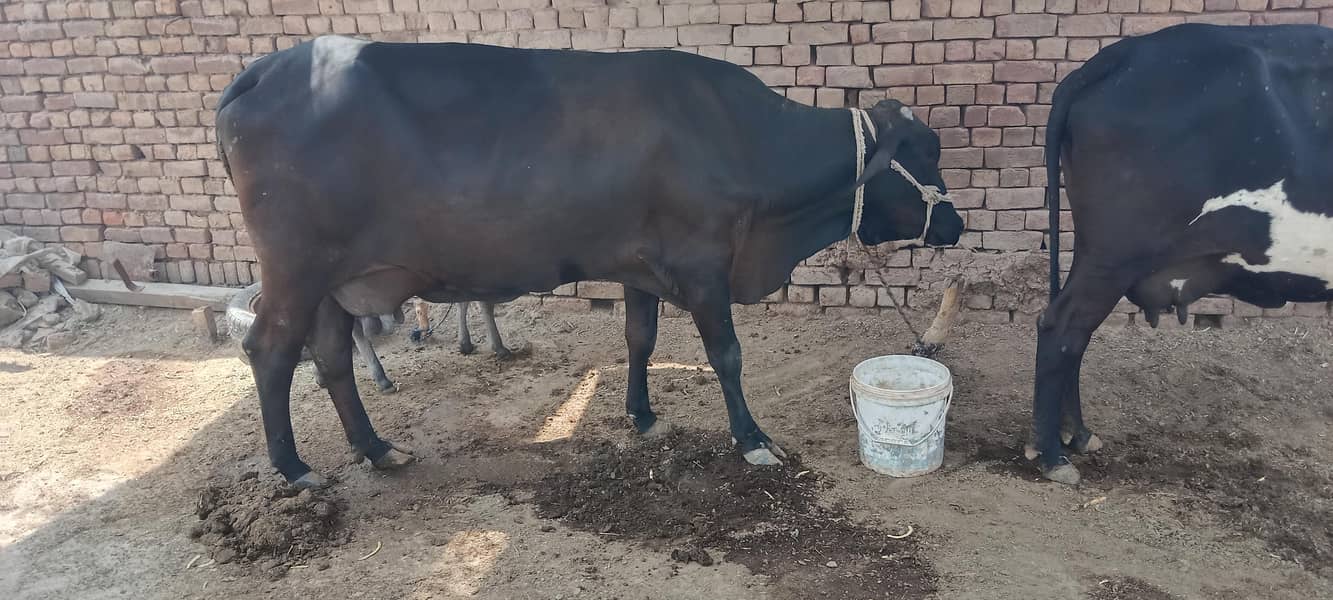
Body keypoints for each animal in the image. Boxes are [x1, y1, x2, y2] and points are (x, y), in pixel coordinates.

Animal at [216, 35, 964, 489]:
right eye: (925, 151)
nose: (956, 224)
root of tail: (265, 68)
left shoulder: (643, 266)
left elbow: (640, 339)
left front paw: (642, 415)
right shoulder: (703, 264)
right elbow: (726, 355)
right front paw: (751, 438)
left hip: (337, 282)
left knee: (332, 358)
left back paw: (377, 448)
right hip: (296, 269)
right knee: (270, 351)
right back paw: (293, 467)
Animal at [1032, 23, 1333, 484]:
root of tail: (1120, 55)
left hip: (1096, 251)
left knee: (1073, 334)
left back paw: (1077, 435)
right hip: (1114, 253)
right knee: (1061, 326)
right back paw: (1052, 457)